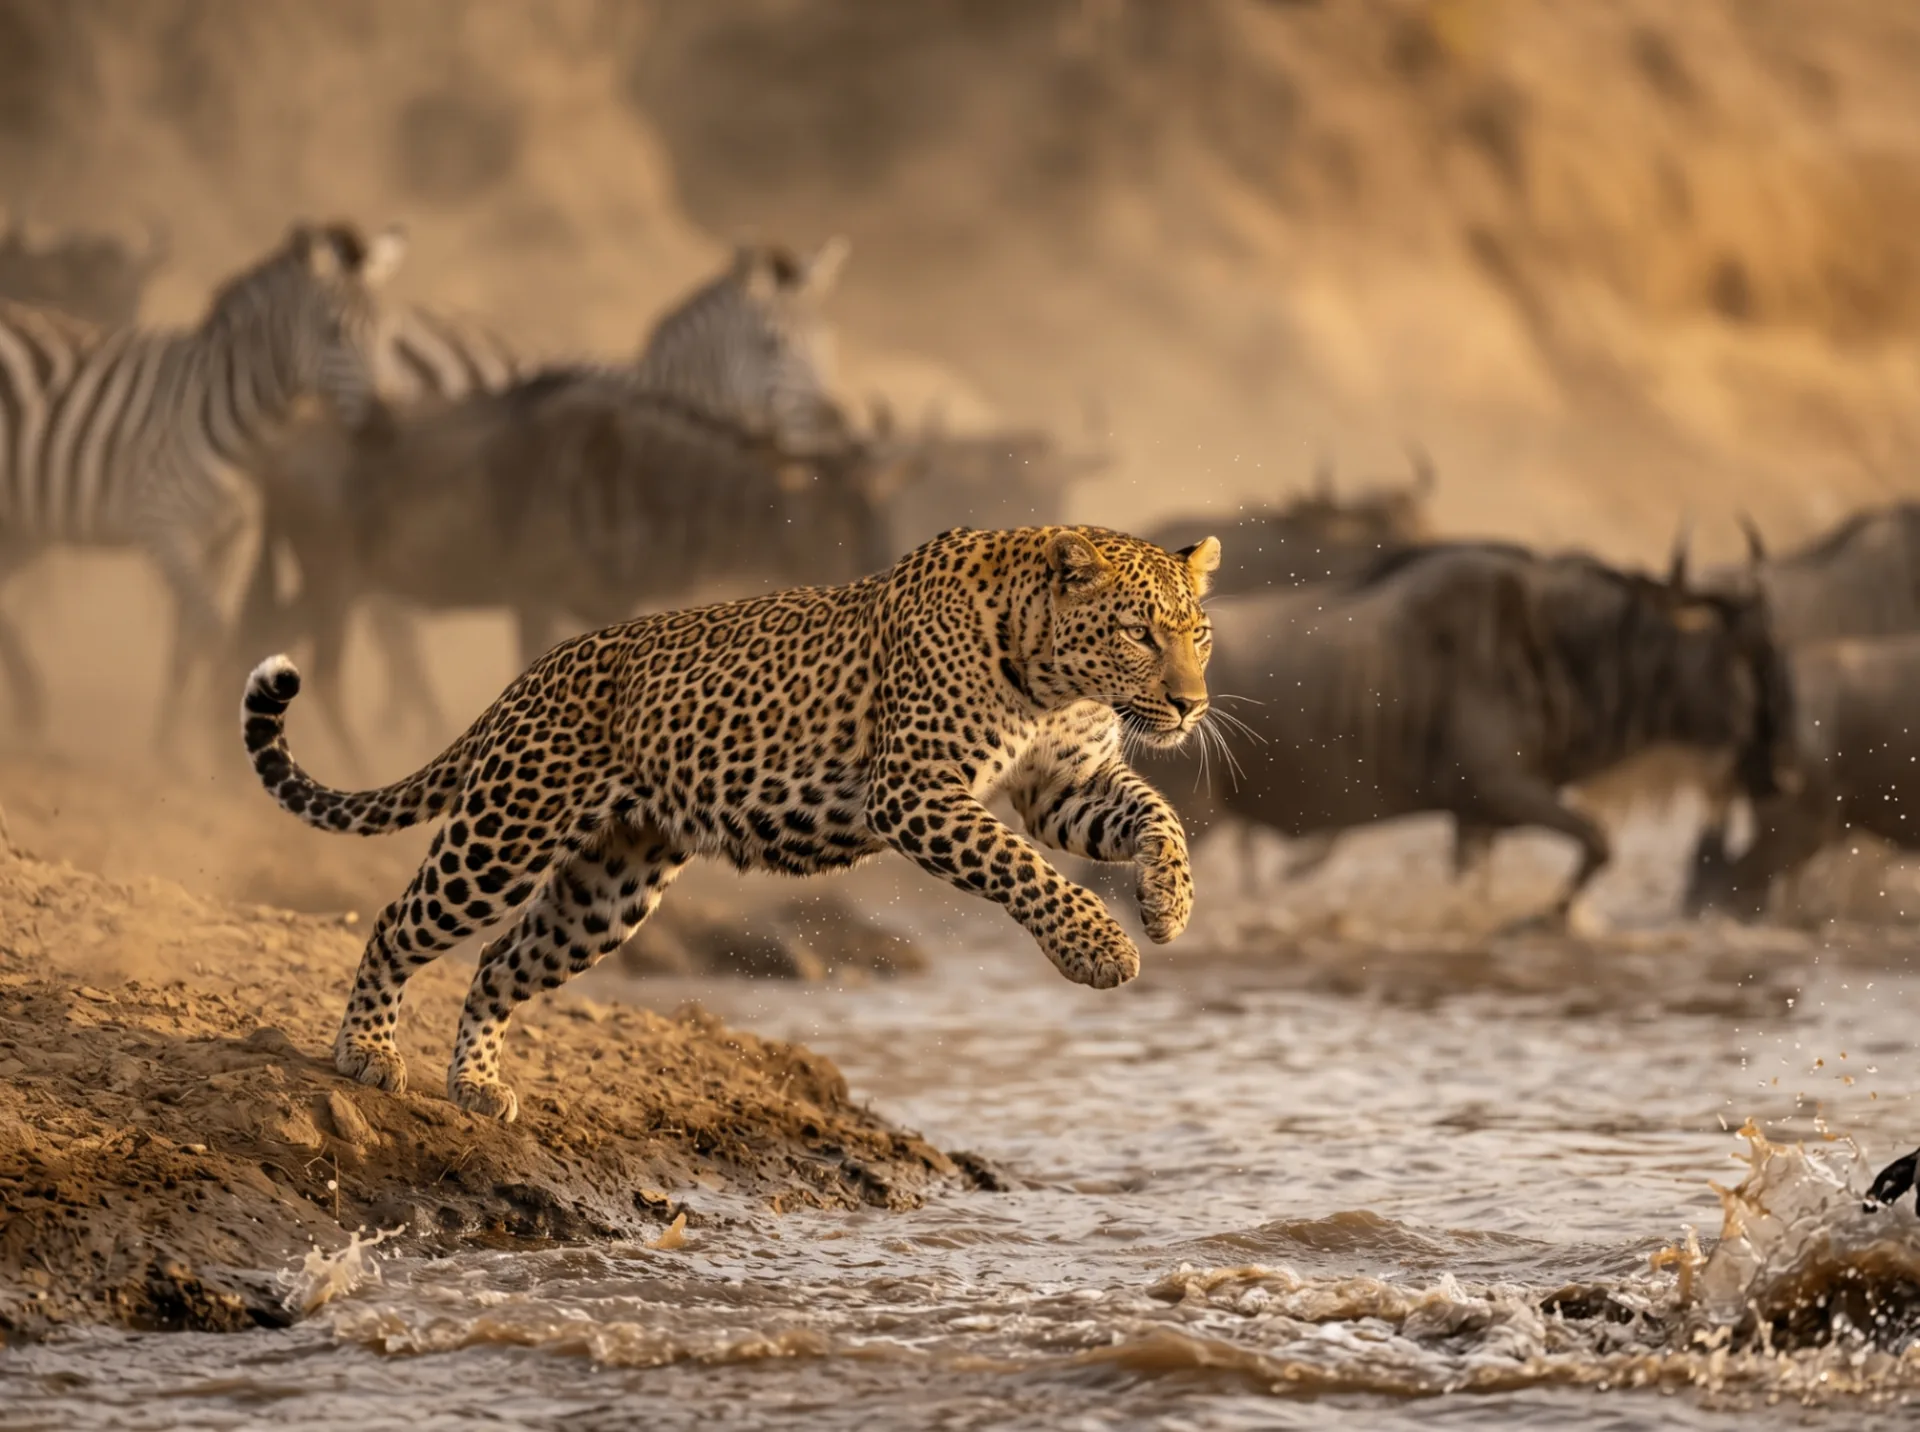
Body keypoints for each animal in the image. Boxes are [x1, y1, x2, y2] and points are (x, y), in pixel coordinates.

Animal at [0, 220, 405, 749]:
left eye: (383, 333)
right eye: (334, 332)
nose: (384, 428)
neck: (230, 412)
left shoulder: (223, 539)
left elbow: (186, 642)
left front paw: (171, 744)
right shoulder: (162, 527)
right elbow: (213, 632)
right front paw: (220, 737)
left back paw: (30, 705)